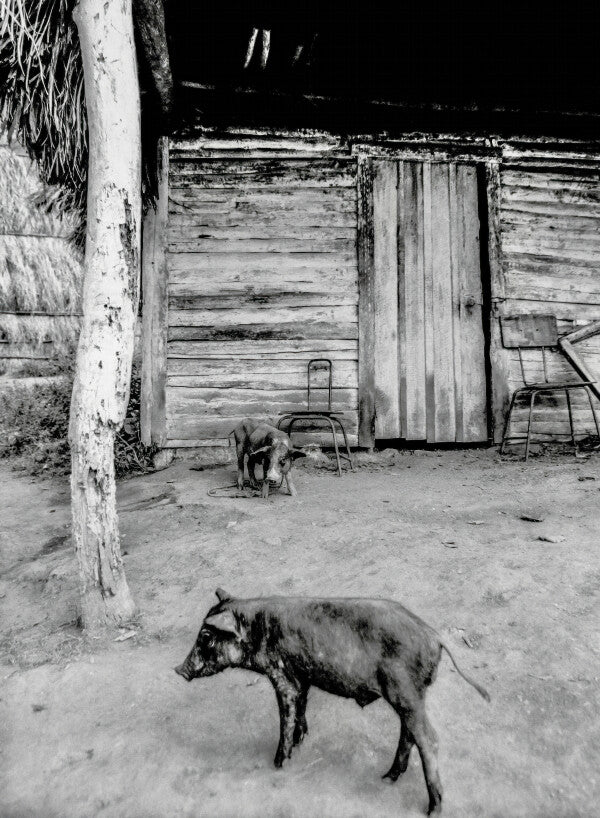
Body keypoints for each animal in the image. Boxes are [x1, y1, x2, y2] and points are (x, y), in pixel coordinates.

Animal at [173, 588, 488, 812]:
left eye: (205, 635)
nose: (178, 669)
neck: (256, 630)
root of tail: (435, 637)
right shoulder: (301, 678)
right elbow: (301, 708)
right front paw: (300, 741)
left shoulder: (282, 675)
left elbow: (286, 717)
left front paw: (278, 764)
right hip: (408, 696)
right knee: (409, 733)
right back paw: (387, 778)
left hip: (405, 690)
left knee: (428, 738)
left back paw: (433, 808)